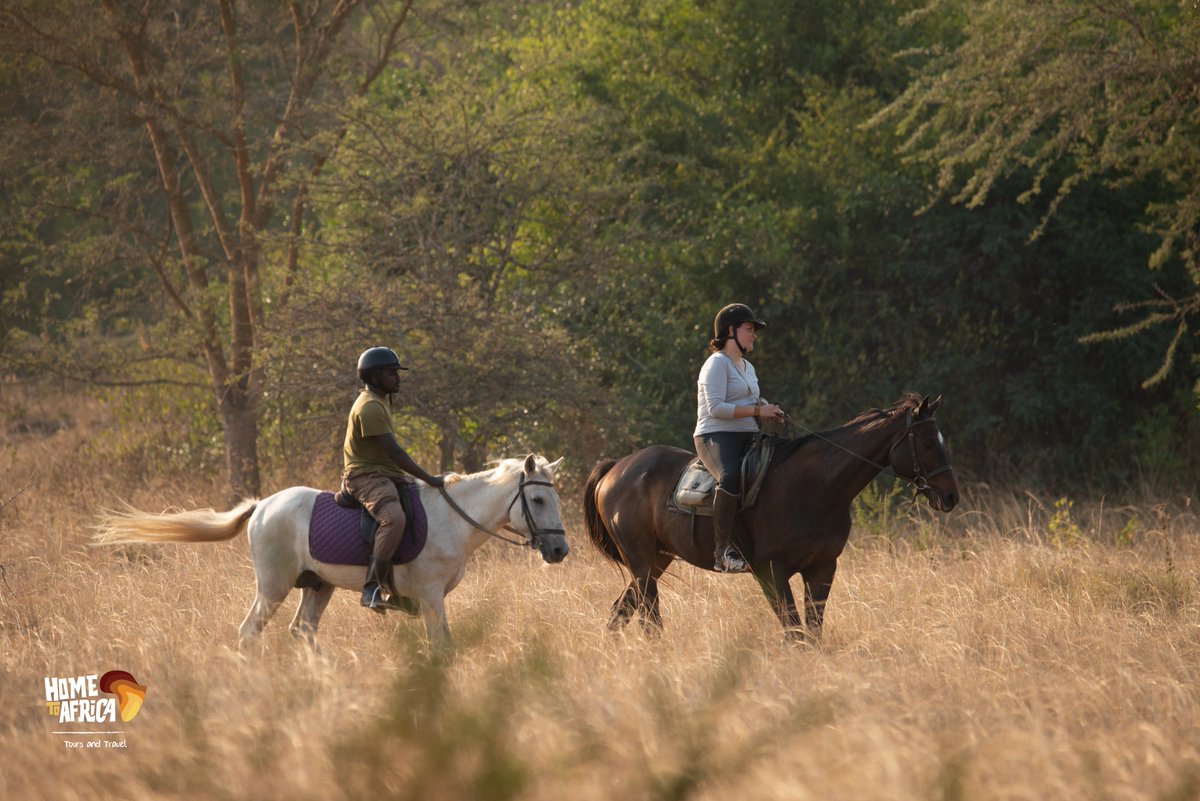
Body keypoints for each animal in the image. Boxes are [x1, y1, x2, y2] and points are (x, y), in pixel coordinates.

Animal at [93, 455, 566, 652]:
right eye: (538, 500)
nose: (560, 549)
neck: (453, 519)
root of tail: (262, 506)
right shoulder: (431, 598)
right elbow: (443, 647)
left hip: (318, 586)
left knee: (302, 631)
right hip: (273, 586)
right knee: (249, 632)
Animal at [585, 390, 960, 642]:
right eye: (928, 443)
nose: (951, 497)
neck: (813, 489)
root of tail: (615, 468)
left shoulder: (822, 569)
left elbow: (812, 632)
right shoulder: (771, 571)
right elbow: (795, 632)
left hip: (656, 559)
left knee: (622, 610)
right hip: (642, 561)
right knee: (648, 616)